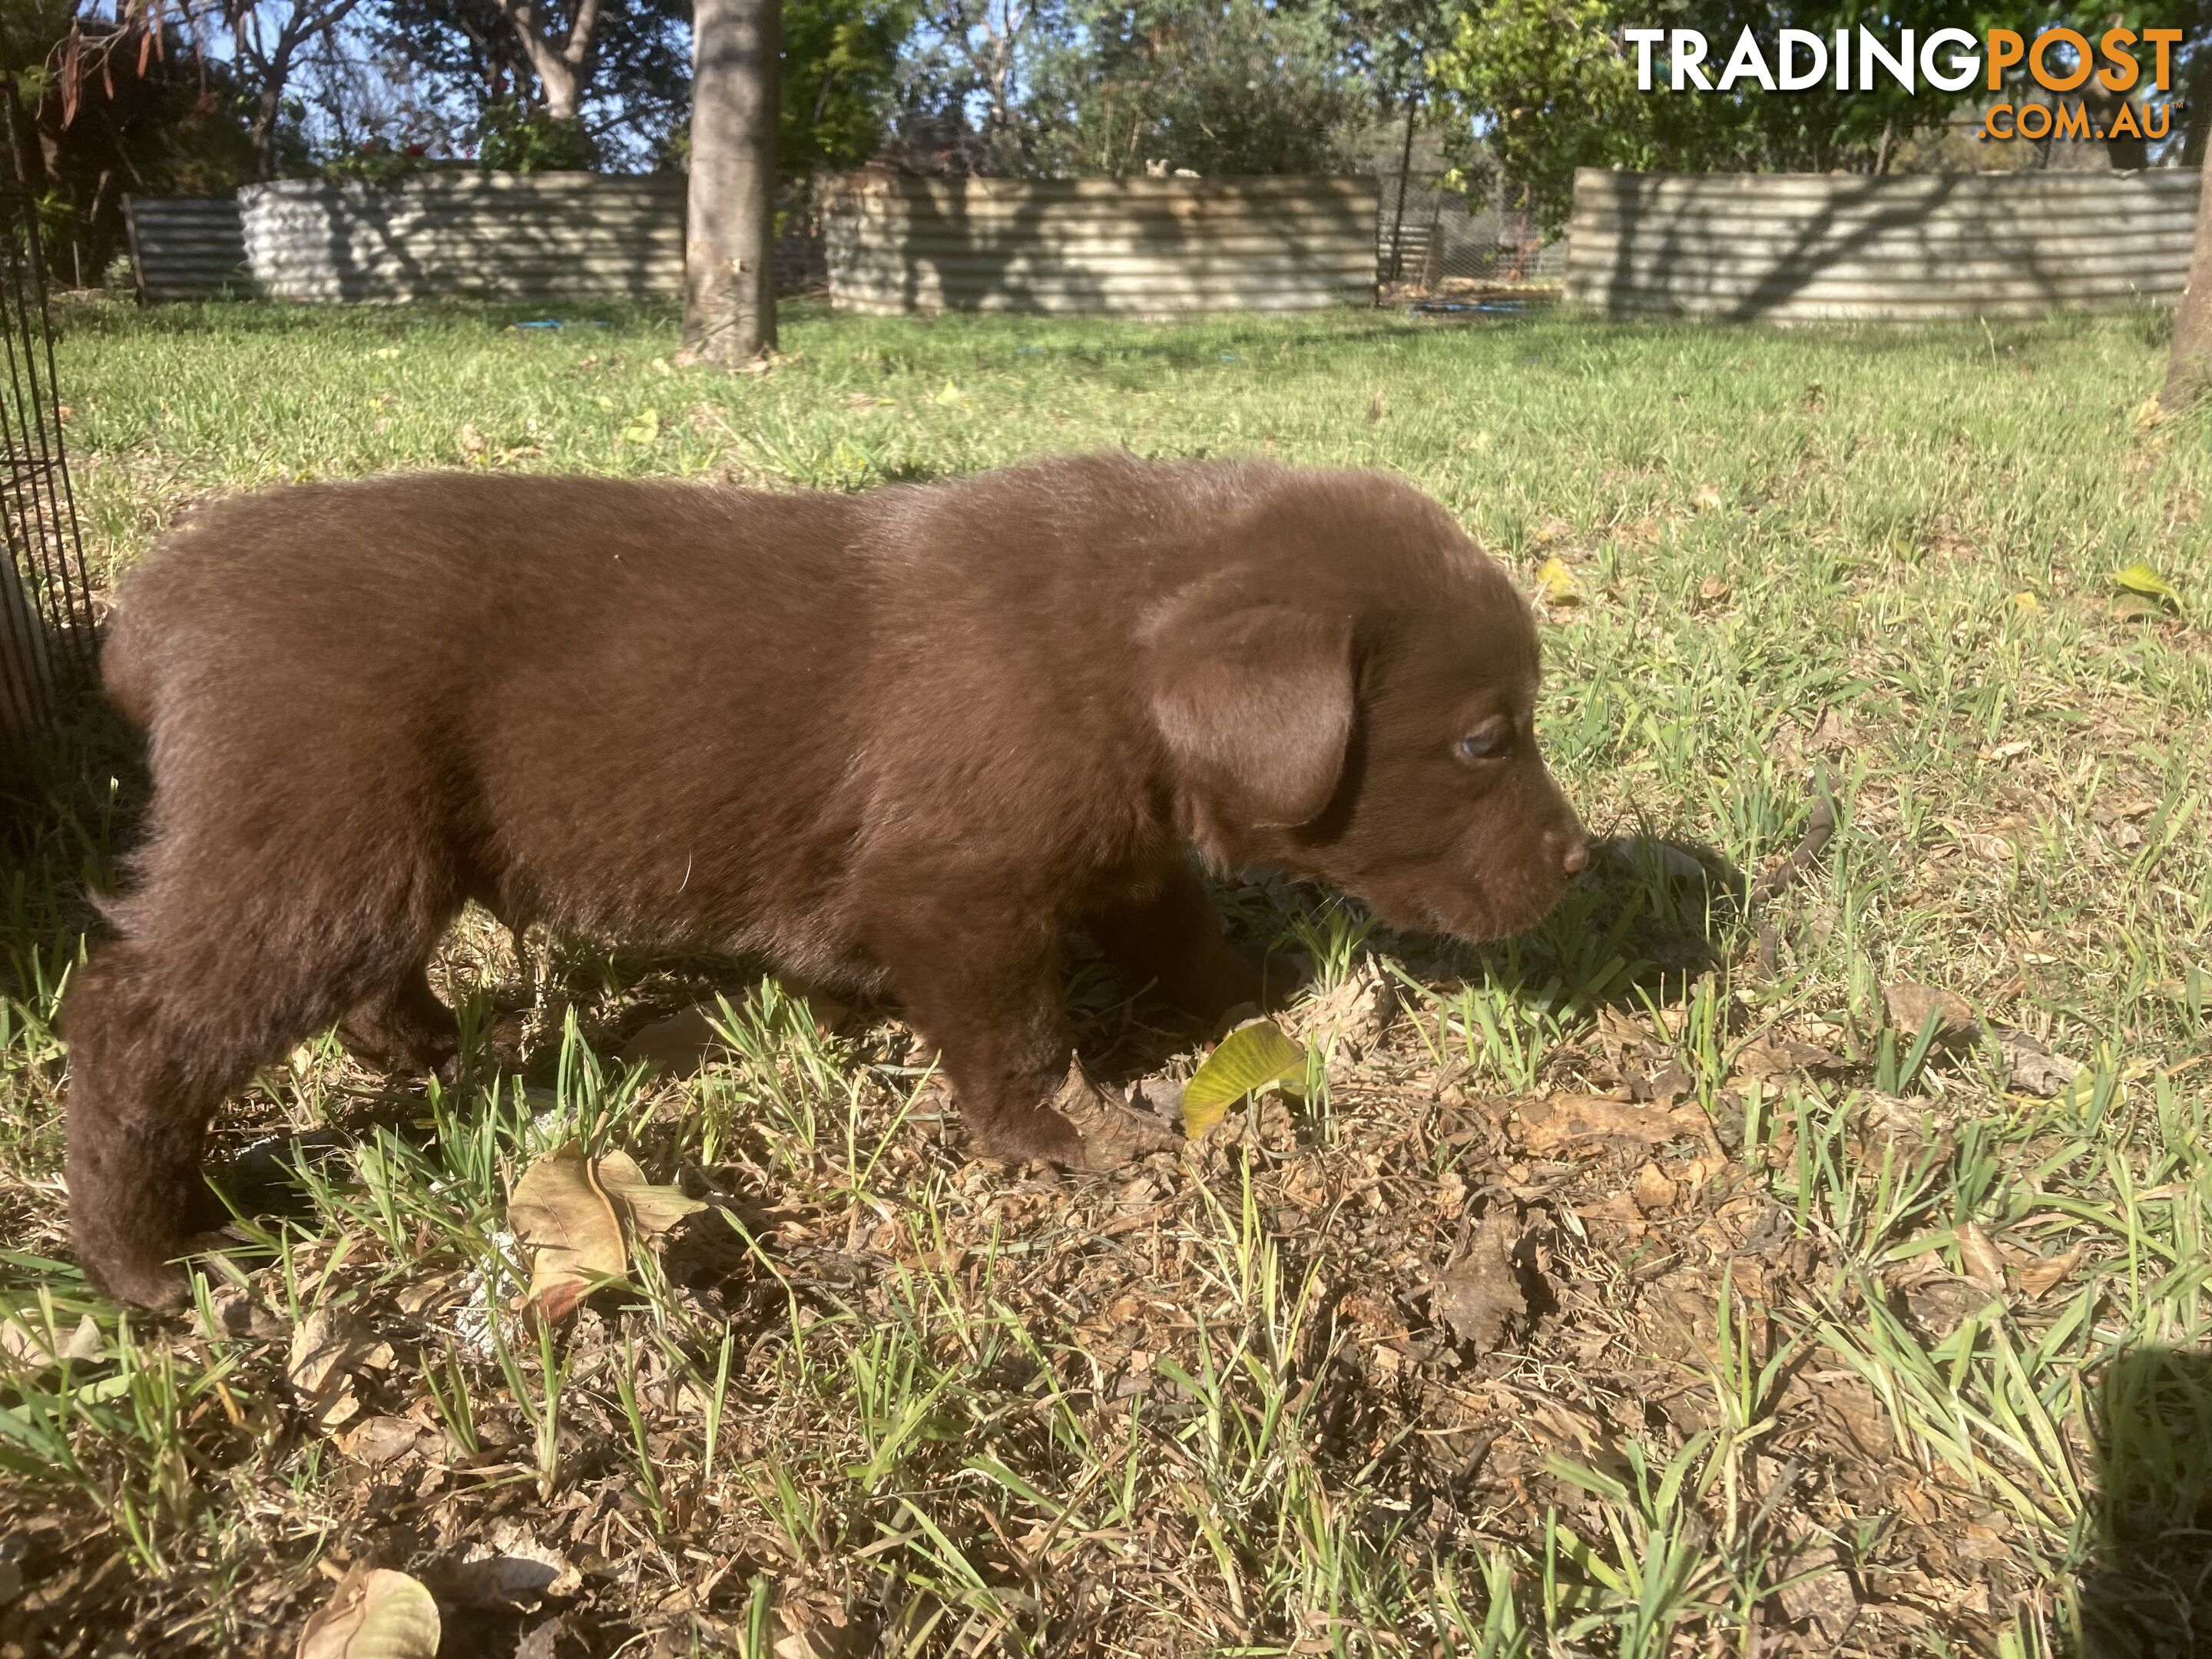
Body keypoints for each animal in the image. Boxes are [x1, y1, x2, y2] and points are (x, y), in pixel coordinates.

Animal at [65, 458, 1592, 1309]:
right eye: (1484, 738)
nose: (1580, 861)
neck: (1115, 639)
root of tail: (157, 608)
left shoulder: (1119, 837)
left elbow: (1172, 922)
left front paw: (1244, 993)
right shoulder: (955, 891)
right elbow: (1014, 1026)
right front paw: (1057, 1136)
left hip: (360, 838)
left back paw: (419, 1041)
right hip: (316, 831)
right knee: (139, 1016)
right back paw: (145, 1262)